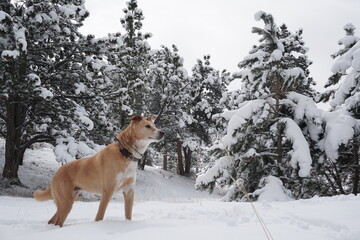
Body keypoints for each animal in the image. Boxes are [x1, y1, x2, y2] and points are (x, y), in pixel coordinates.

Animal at [33, 114, 163, 227]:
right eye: (147, 126)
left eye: (155, 125)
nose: (163, 132)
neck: (125, 153)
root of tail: (56, 173)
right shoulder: (108, 191)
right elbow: (100, 216)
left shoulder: (129, 191)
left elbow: (128, 215)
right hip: (66, 202)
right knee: (58, 221)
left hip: (68, 200)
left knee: (52, 220)